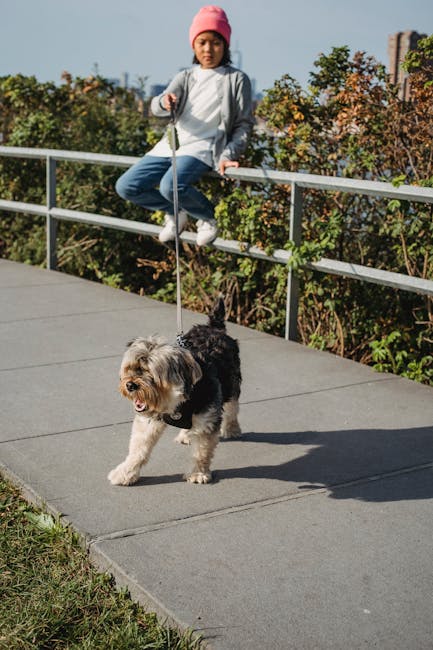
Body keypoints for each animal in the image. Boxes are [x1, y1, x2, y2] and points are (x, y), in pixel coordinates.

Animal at [106, 296, 241, 484]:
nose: (130, 385)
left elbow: (201, 452)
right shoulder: (148, 421)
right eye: (131, 368)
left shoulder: (207, 418)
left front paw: (198, 473)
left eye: (151, 374)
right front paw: (125, 472)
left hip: (232, 382)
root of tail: (214, 327)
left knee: (232, 407)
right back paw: (185, 434)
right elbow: (138, 449)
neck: (178, 401)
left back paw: (232, 429)